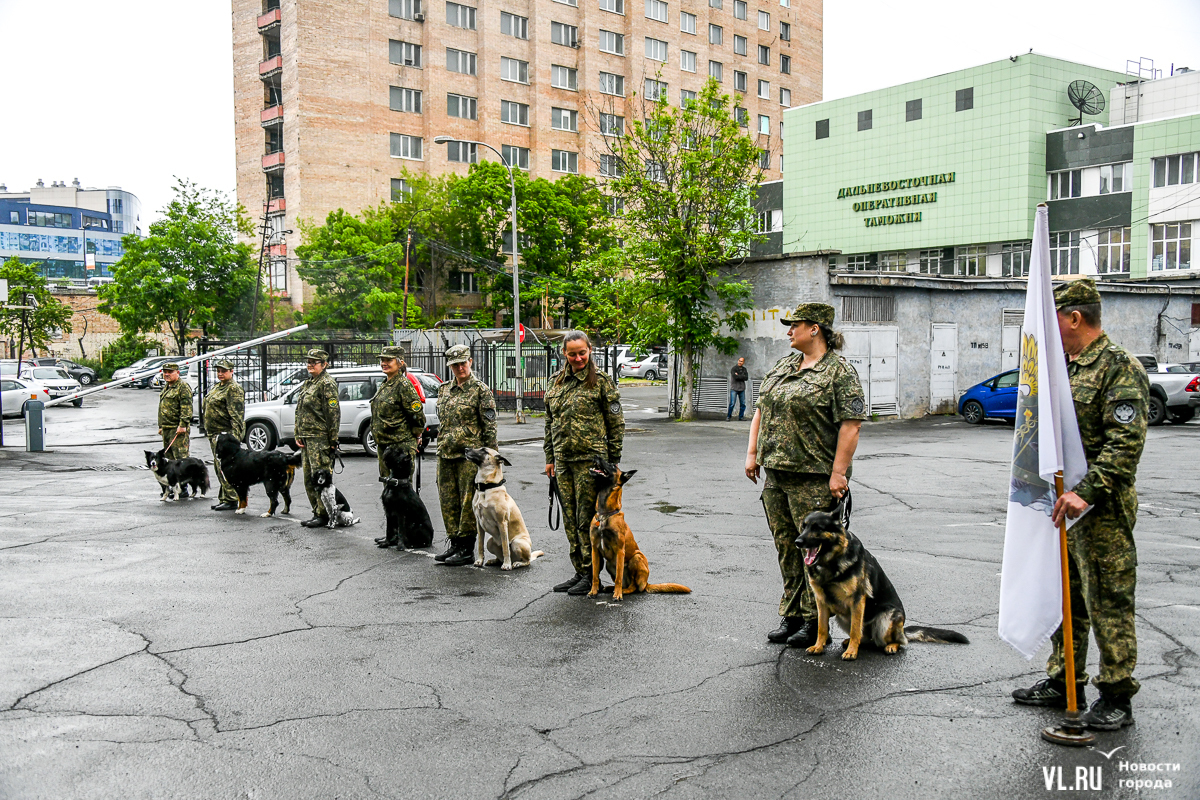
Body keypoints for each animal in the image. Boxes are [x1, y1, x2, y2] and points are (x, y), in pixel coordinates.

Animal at [585, 455, 691, 599]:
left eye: (612, 465)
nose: (596, 455)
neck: (604, 515)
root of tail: (647, 583)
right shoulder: (595, 550)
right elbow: (595, 575)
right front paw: (593, 591)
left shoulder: (620, 550)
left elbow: (618, 577)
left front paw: (617, 594)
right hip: (609, 565)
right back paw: (610, 588)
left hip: (637, 557)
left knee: (634, 587)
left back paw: (621, 591)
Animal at [796, 501, 964, 662]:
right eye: (803, 527)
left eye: (817, 528)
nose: (797, 541)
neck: (831, 562)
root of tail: (902, 630)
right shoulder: (821, 601)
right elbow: (822, 628)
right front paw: (818, 646)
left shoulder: (857, 600)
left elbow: (855, 629)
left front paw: (851, 652)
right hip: (842, 617)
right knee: (865, 637)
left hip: (885, 620)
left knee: (898, 641)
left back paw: (890, 646)